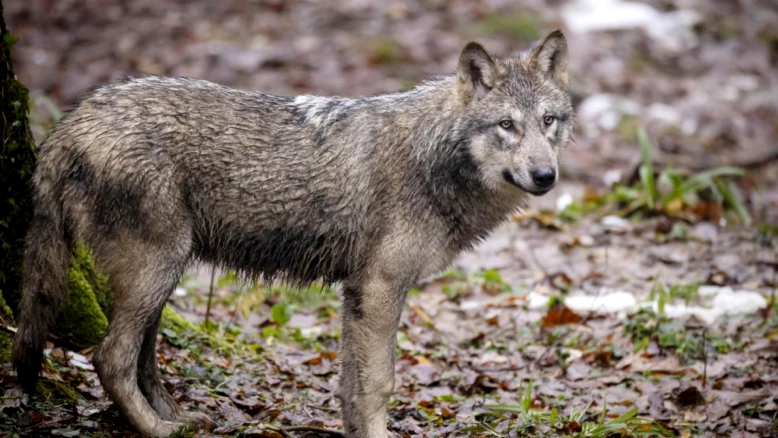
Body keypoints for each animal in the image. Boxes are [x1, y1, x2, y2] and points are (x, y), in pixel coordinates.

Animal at [13, 30, 573, 437]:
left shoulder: (356, 293)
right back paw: (157, 430)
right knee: (110, 358)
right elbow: (380, 383)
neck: (433, 158)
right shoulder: (380, 288)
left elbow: (350, 386)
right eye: (506, 125)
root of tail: (70, 123)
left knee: (141, 358)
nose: (546, 176)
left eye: (549, 121)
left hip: (159, 278)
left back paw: (176, 418)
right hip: (155, 272)